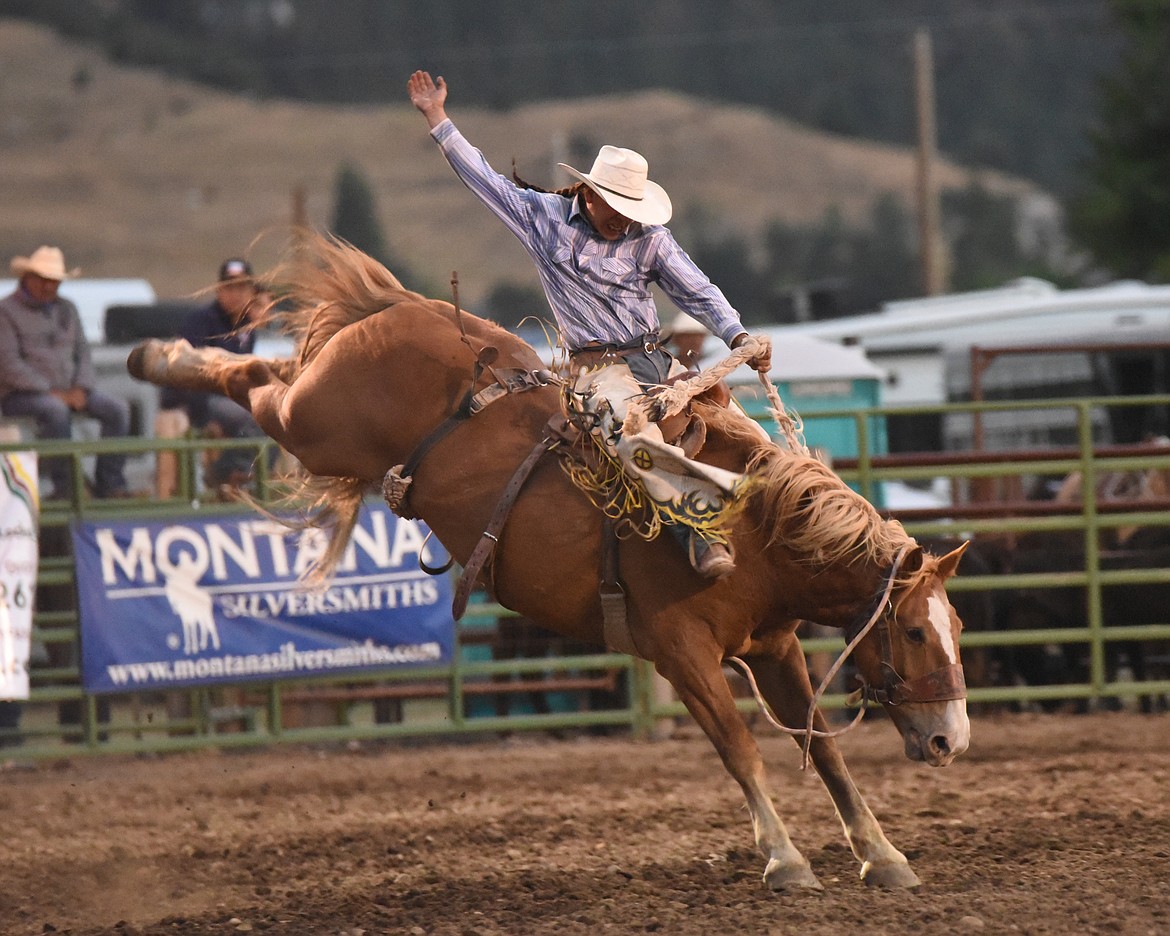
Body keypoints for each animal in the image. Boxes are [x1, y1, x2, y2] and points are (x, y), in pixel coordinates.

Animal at [125, 233, 968, 893]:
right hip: (315, 423)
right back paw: (158, 355)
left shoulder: (773, 645)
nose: (951, 743)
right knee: (256, 383)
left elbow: (822, 746)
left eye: (955, 626)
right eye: (914, 633)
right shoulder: (681, 652)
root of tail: (404, 308)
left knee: (269, 379)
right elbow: (740, 750)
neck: (751, 529)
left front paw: (884, 856)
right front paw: (786, 860)